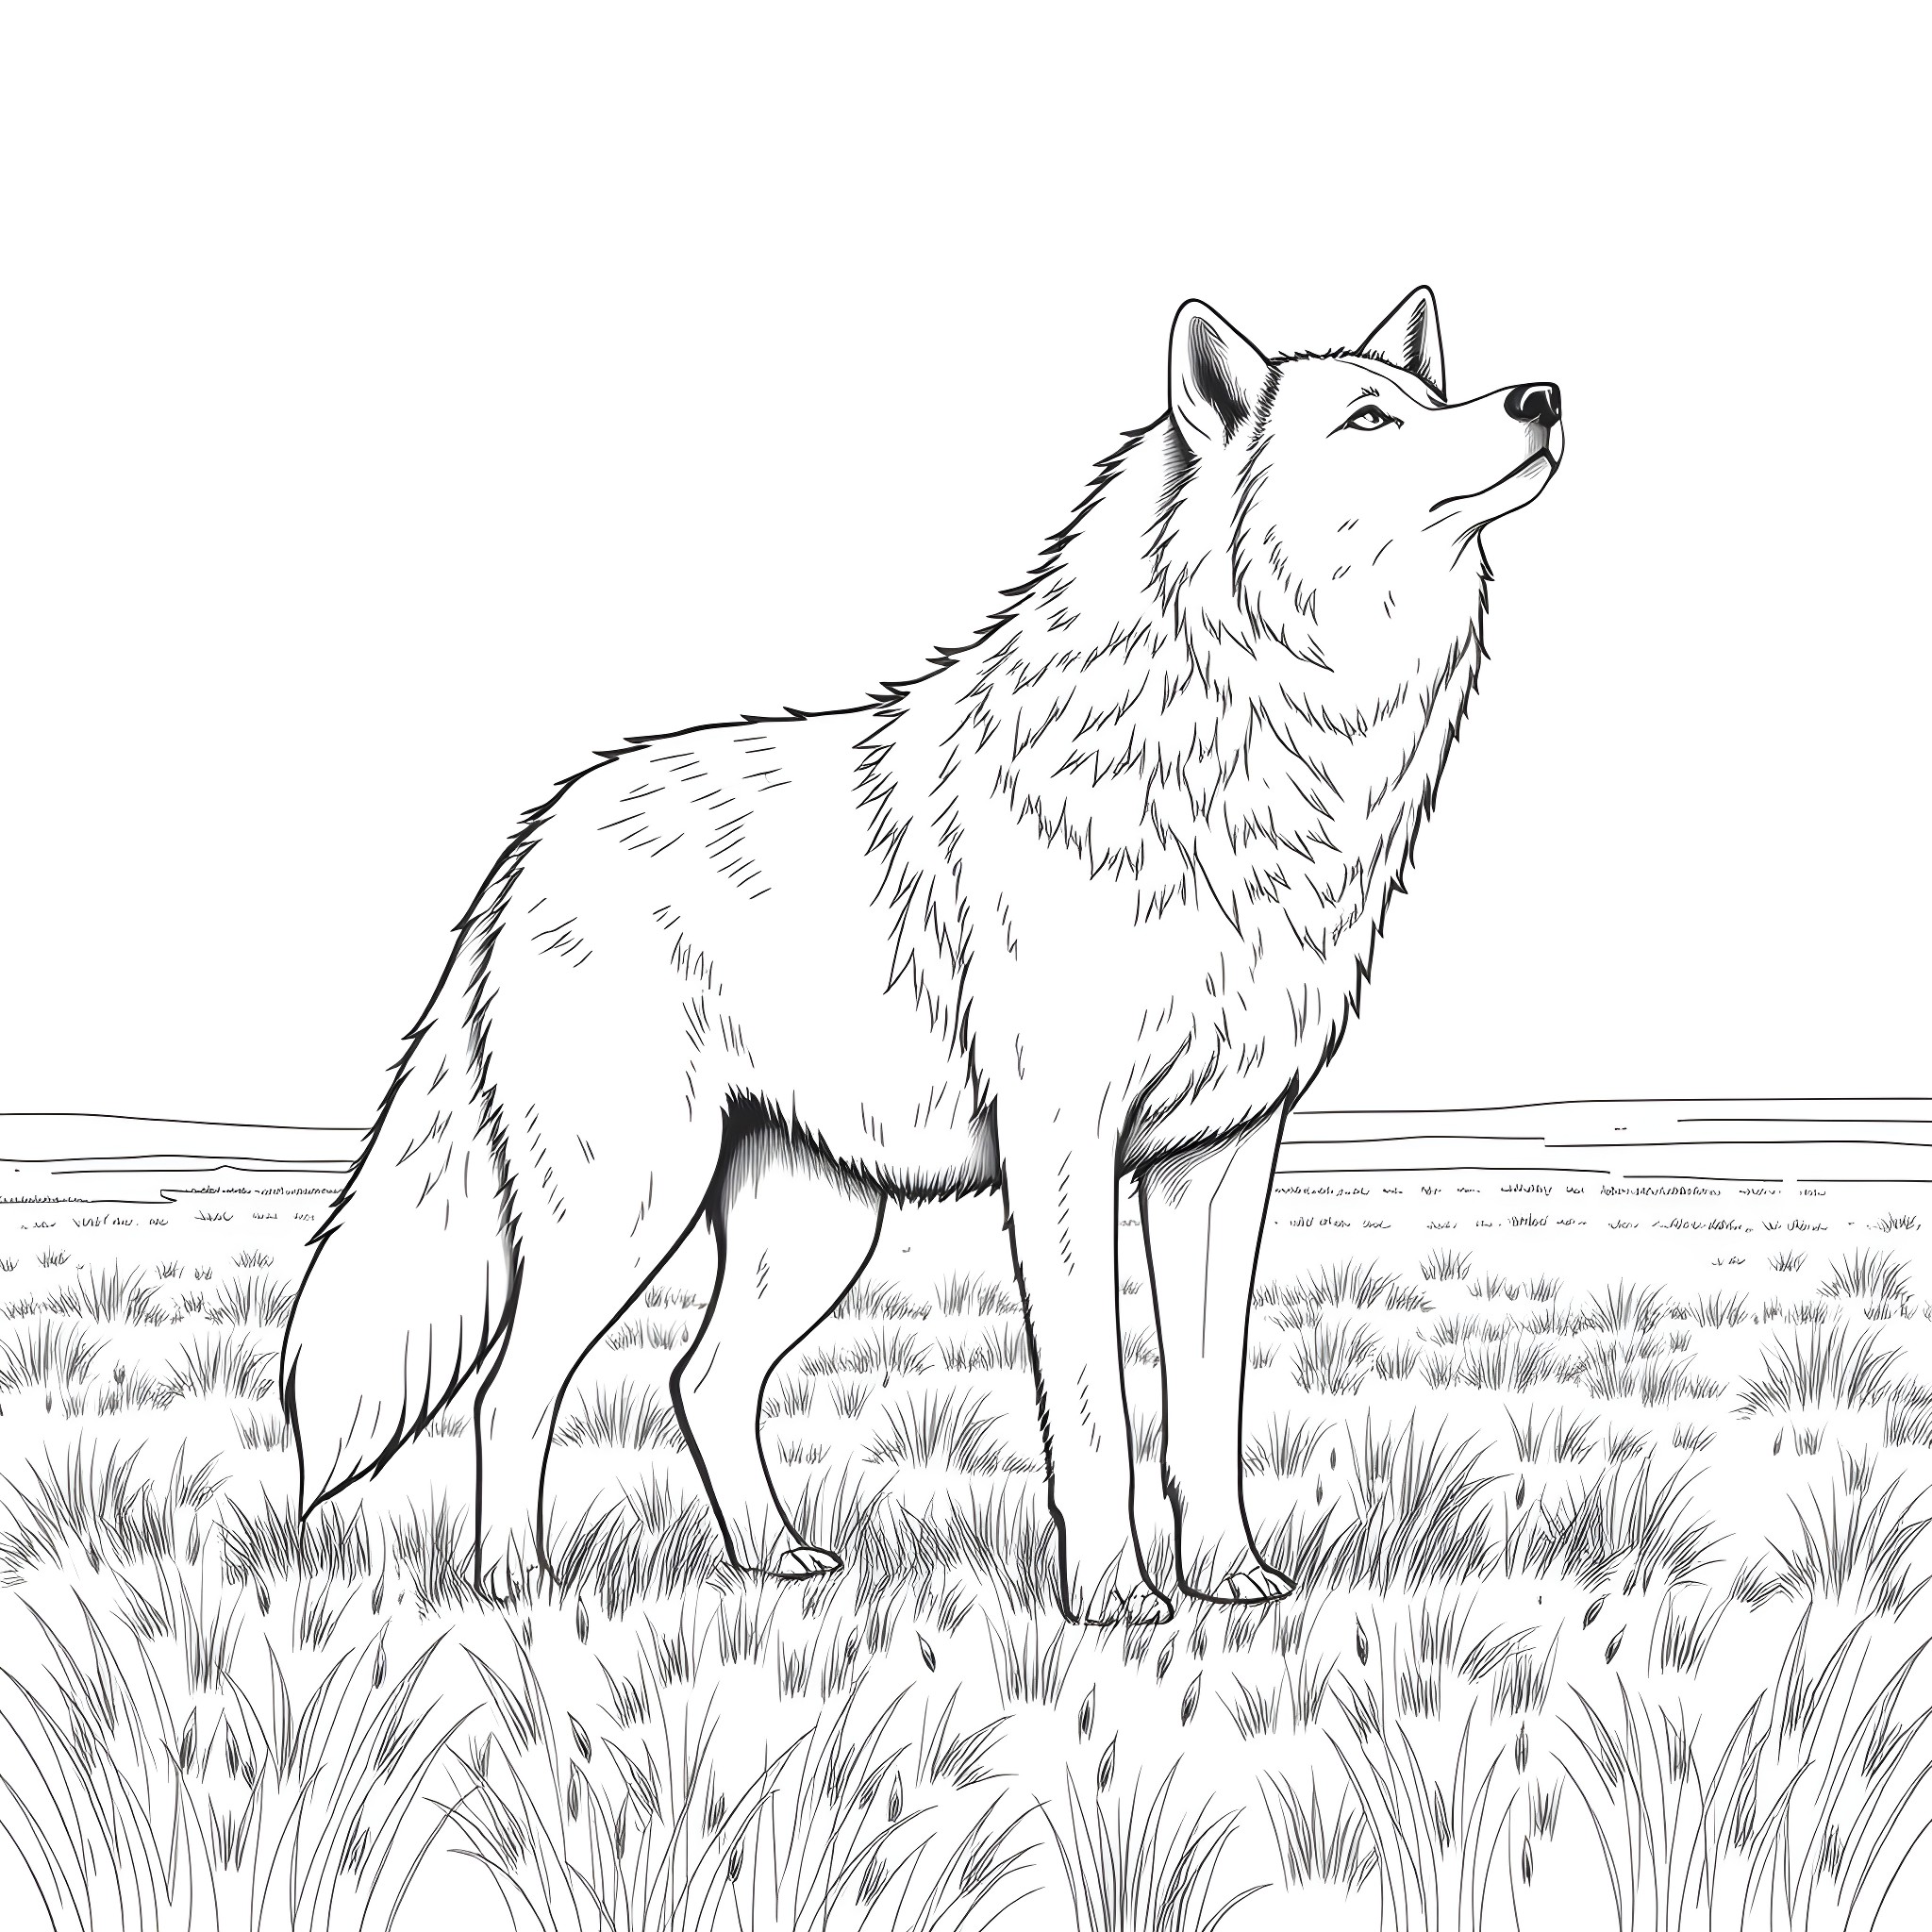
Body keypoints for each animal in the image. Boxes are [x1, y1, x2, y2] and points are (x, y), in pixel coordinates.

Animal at [281, 288, 1562, 1624]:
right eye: (1367, 421)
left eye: (1429, 398)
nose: (1540, 397)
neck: (1244, 746)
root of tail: (532, 837)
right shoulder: (1060, 1145)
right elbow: (1094, 1411)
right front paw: (1112, 1597)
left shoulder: (1218, 1160)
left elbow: (1206, 1407)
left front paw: (1228, 1578)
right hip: (626, 1206)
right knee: (512, 1390)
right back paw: (516, 1586)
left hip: (813, 1231)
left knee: (701, 1378)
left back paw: (771, 1557)